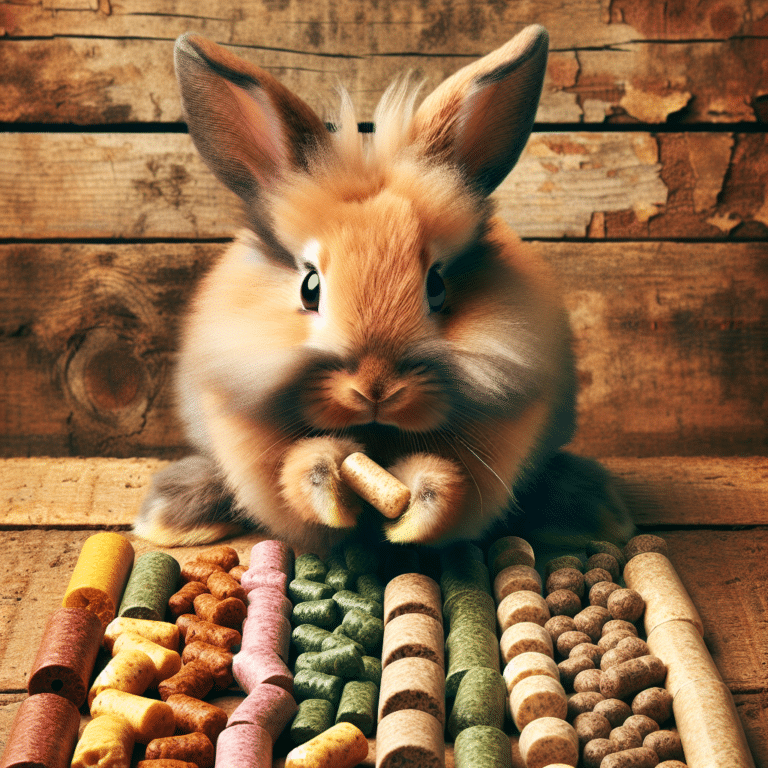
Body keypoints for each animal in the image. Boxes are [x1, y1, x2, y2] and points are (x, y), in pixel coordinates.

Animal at [134, 26, 635, 553]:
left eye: (436, 285)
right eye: (310, 287)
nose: (376, 389)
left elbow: (445, 489)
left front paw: (409, 510)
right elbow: (299, 476)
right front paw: (332, 486)